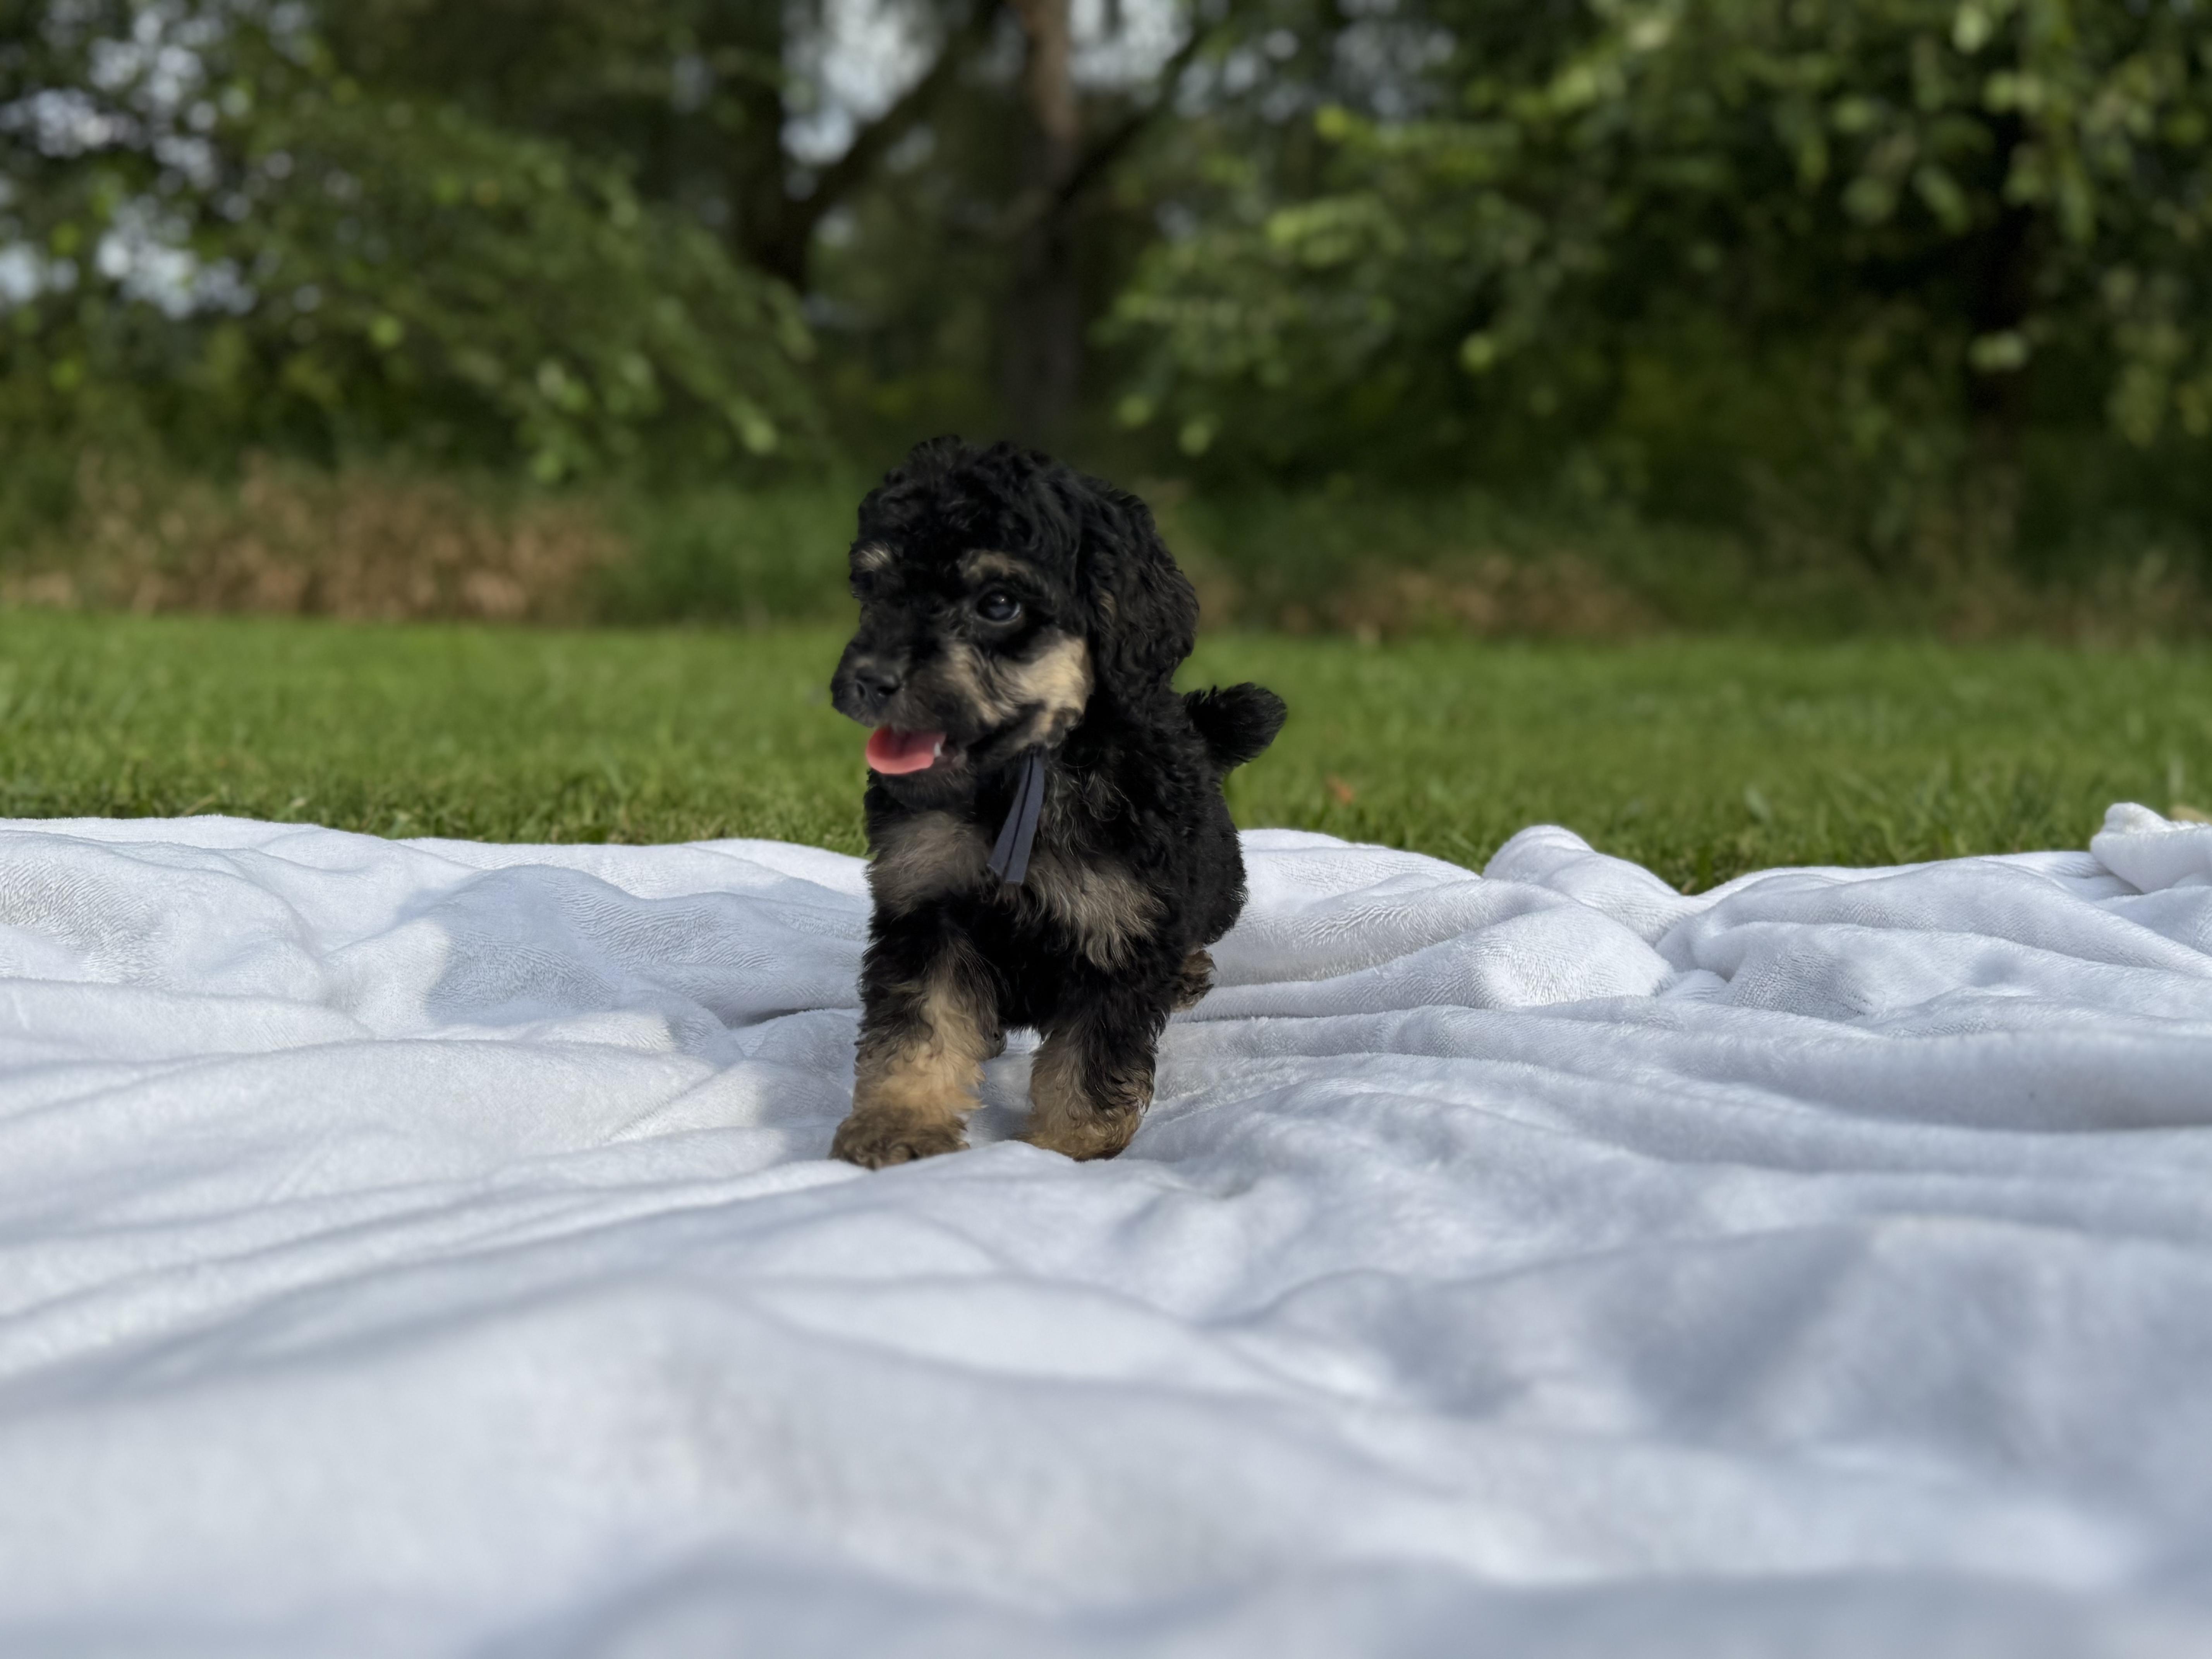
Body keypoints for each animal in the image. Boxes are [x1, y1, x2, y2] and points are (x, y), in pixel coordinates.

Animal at [827, 439, 1285, 1167]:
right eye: (876, 590)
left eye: (999, 604)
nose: (869, 680)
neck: (1027, 777)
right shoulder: (927, 908)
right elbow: (919, 1026)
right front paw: (899, 1121)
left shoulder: (1123, 930)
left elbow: (1090, 1055)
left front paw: (1067, 1147)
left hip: (1212, 884)